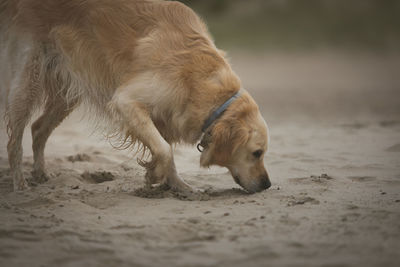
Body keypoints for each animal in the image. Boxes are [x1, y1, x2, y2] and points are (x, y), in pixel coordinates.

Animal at [0, 0, 272, 194]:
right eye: (257, 153)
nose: (267, 184)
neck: (202, 83)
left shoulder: (166, 115)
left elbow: (165, 150)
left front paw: (177, 185)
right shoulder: (126, 101)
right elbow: (164, 149)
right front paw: (154, 175)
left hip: (69, 89)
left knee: (37, 128)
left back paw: (40, 174)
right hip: (27, 81)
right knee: (14, 142)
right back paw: (20, 185)